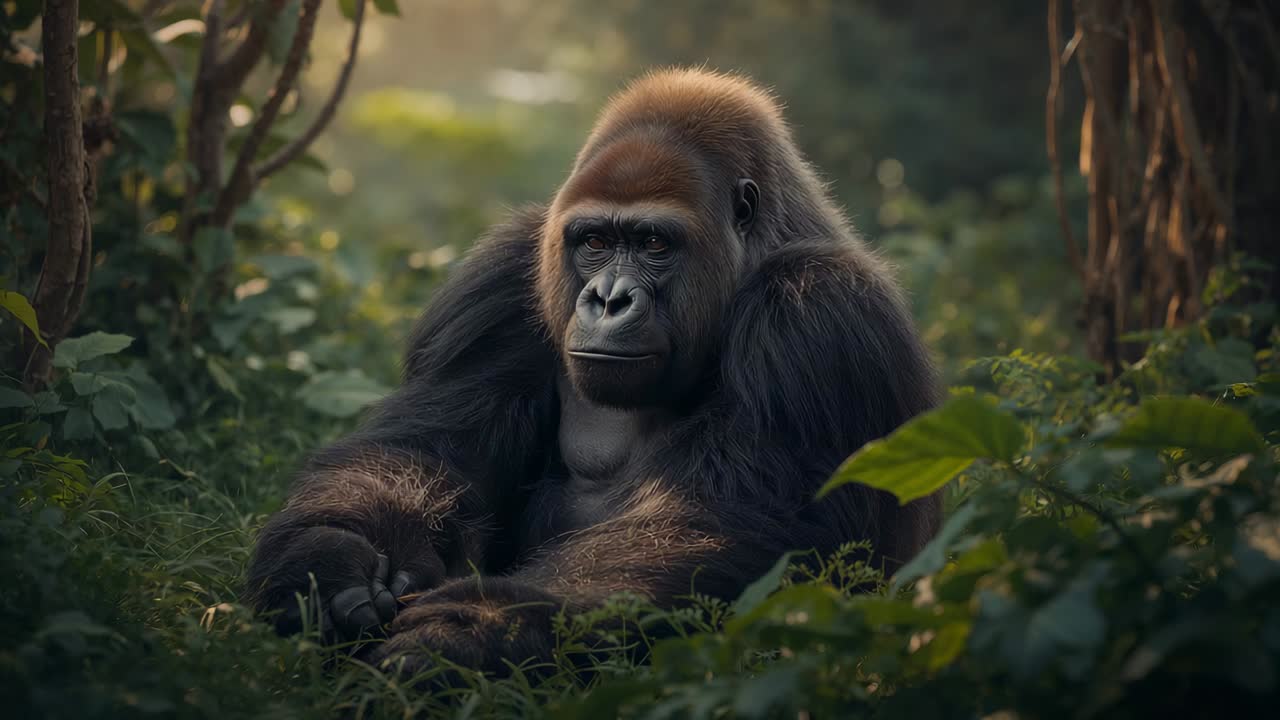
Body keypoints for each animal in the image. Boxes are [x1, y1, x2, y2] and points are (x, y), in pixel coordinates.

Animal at [246, 68, 942, 677]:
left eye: (654, 243)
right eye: (595, 242)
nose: (608, 300)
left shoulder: (818, 315)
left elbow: (725, 525)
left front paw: (489, 626)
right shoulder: (502, 279)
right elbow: (426, 450)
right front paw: (329, 557)